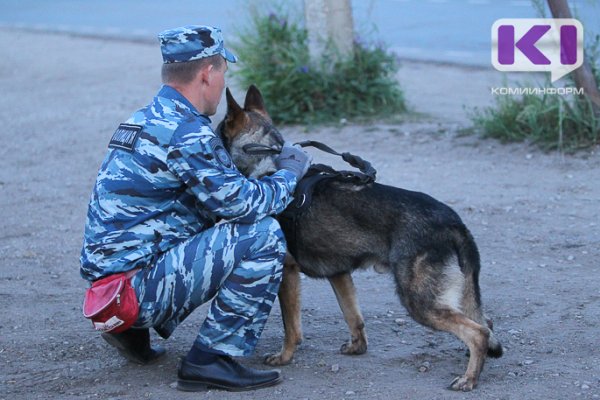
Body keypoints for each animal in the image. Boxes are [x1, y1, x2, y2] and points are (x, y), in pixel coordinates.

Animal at [216, 85, 502, 390]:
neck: (265, 162)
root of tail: (453, 222)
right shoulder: (339, 274)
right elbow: (353, 316)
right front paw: (357, 347)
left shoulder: (288, 273)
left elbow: (291, 326)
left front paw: (284, 357)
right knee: (486, 323)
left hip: (419, 302)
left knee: (478, 332)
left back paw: (469, 378)